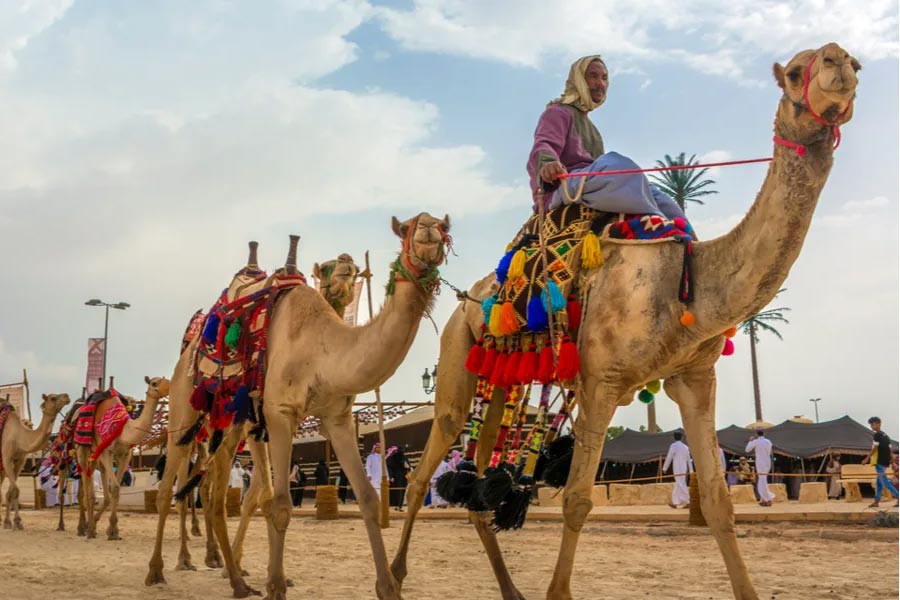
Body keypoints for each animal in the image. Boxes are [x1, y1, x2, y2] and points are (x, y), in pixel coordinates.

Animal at [0, 393, 70, 529]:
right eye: (52, 398)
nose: (66, 396)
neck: (19, 436)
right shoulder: (6, 458)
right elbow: (15, 490)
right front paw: (16, 521)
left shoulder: (19, 460)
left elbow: (11, 492)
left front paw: (10, 522)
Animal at [74, 376, 170, 540]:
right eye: (154, 383)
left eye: (167, 380)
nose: (168, 388)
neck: (124, 429)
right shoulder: (107, 452)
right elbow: (115, 487)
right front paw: (110, 530)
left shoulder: (125, 455)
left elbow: (117, 490)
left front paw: (113, 531)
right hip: (82, 449)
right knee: (86, 486)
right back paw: (86, 529)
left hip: (95, 455)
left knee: (95, 477)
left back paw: (90, 525)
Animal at [390, 43, 860, 600]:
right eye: (795, 71)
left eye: (851, 62)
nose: (840, 61)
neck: (688, 284)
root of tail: (469, 300)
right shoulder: (602, 381)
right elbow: (577, 500)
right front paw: (557, 592)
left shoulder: (694, 377)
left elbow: (718, 502)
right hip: (456, 359)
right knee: (423, 470)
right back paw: (391, 580)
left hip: (502, 380)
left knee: (478, 487)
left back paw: (509, 589)